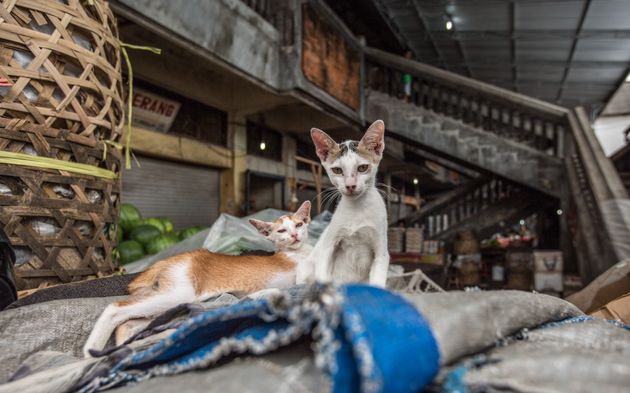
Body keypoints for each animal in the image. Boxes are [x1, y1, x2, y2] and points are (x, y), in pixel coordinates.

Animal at [81, 201, 314, 356]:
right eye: (282, 230)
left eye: (299, 224)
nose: (295, 235)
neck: (296, 251)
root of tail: (160, 263)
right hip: (179, 292)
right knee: (115, 308)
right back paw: (89, 353)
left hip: (164, 303)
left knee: (128, 323)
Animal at [296, 118, 390, 284]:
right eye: (337, 170)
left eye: (362, 168)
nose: (350, 185)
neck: (357, 208)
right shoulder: (327, 247)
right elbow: (323, 277)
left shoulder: (382, 254)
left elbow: (378, 282)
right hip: (306, 265)